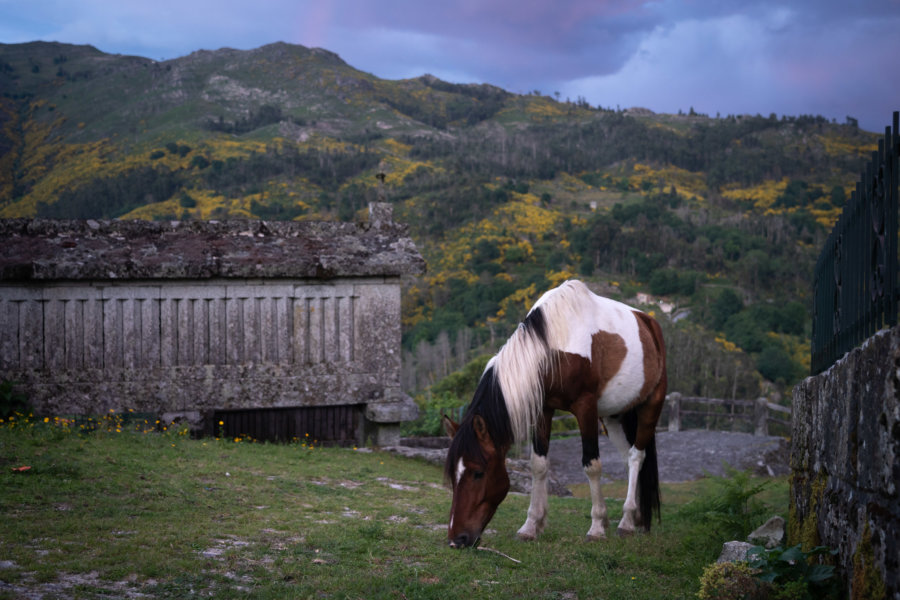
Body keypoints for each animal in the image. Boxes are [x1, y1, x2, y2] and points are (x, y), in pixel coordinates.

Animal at [442, 278, 668, 548]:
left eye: (478, 473)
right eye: (452, 473)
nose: (457, 539)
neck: (555, 348)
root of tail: (649, 323)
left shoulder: (585, 407)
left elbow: (592, 465)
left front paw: (596, 527)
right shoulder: (543, 409)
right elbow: (539, 465)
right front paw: (531, 526)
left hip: (650, 406)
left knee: (636, 457)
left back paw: (626, 522)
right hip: (614, 416)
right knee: (628, 458)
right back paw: (636, 518)